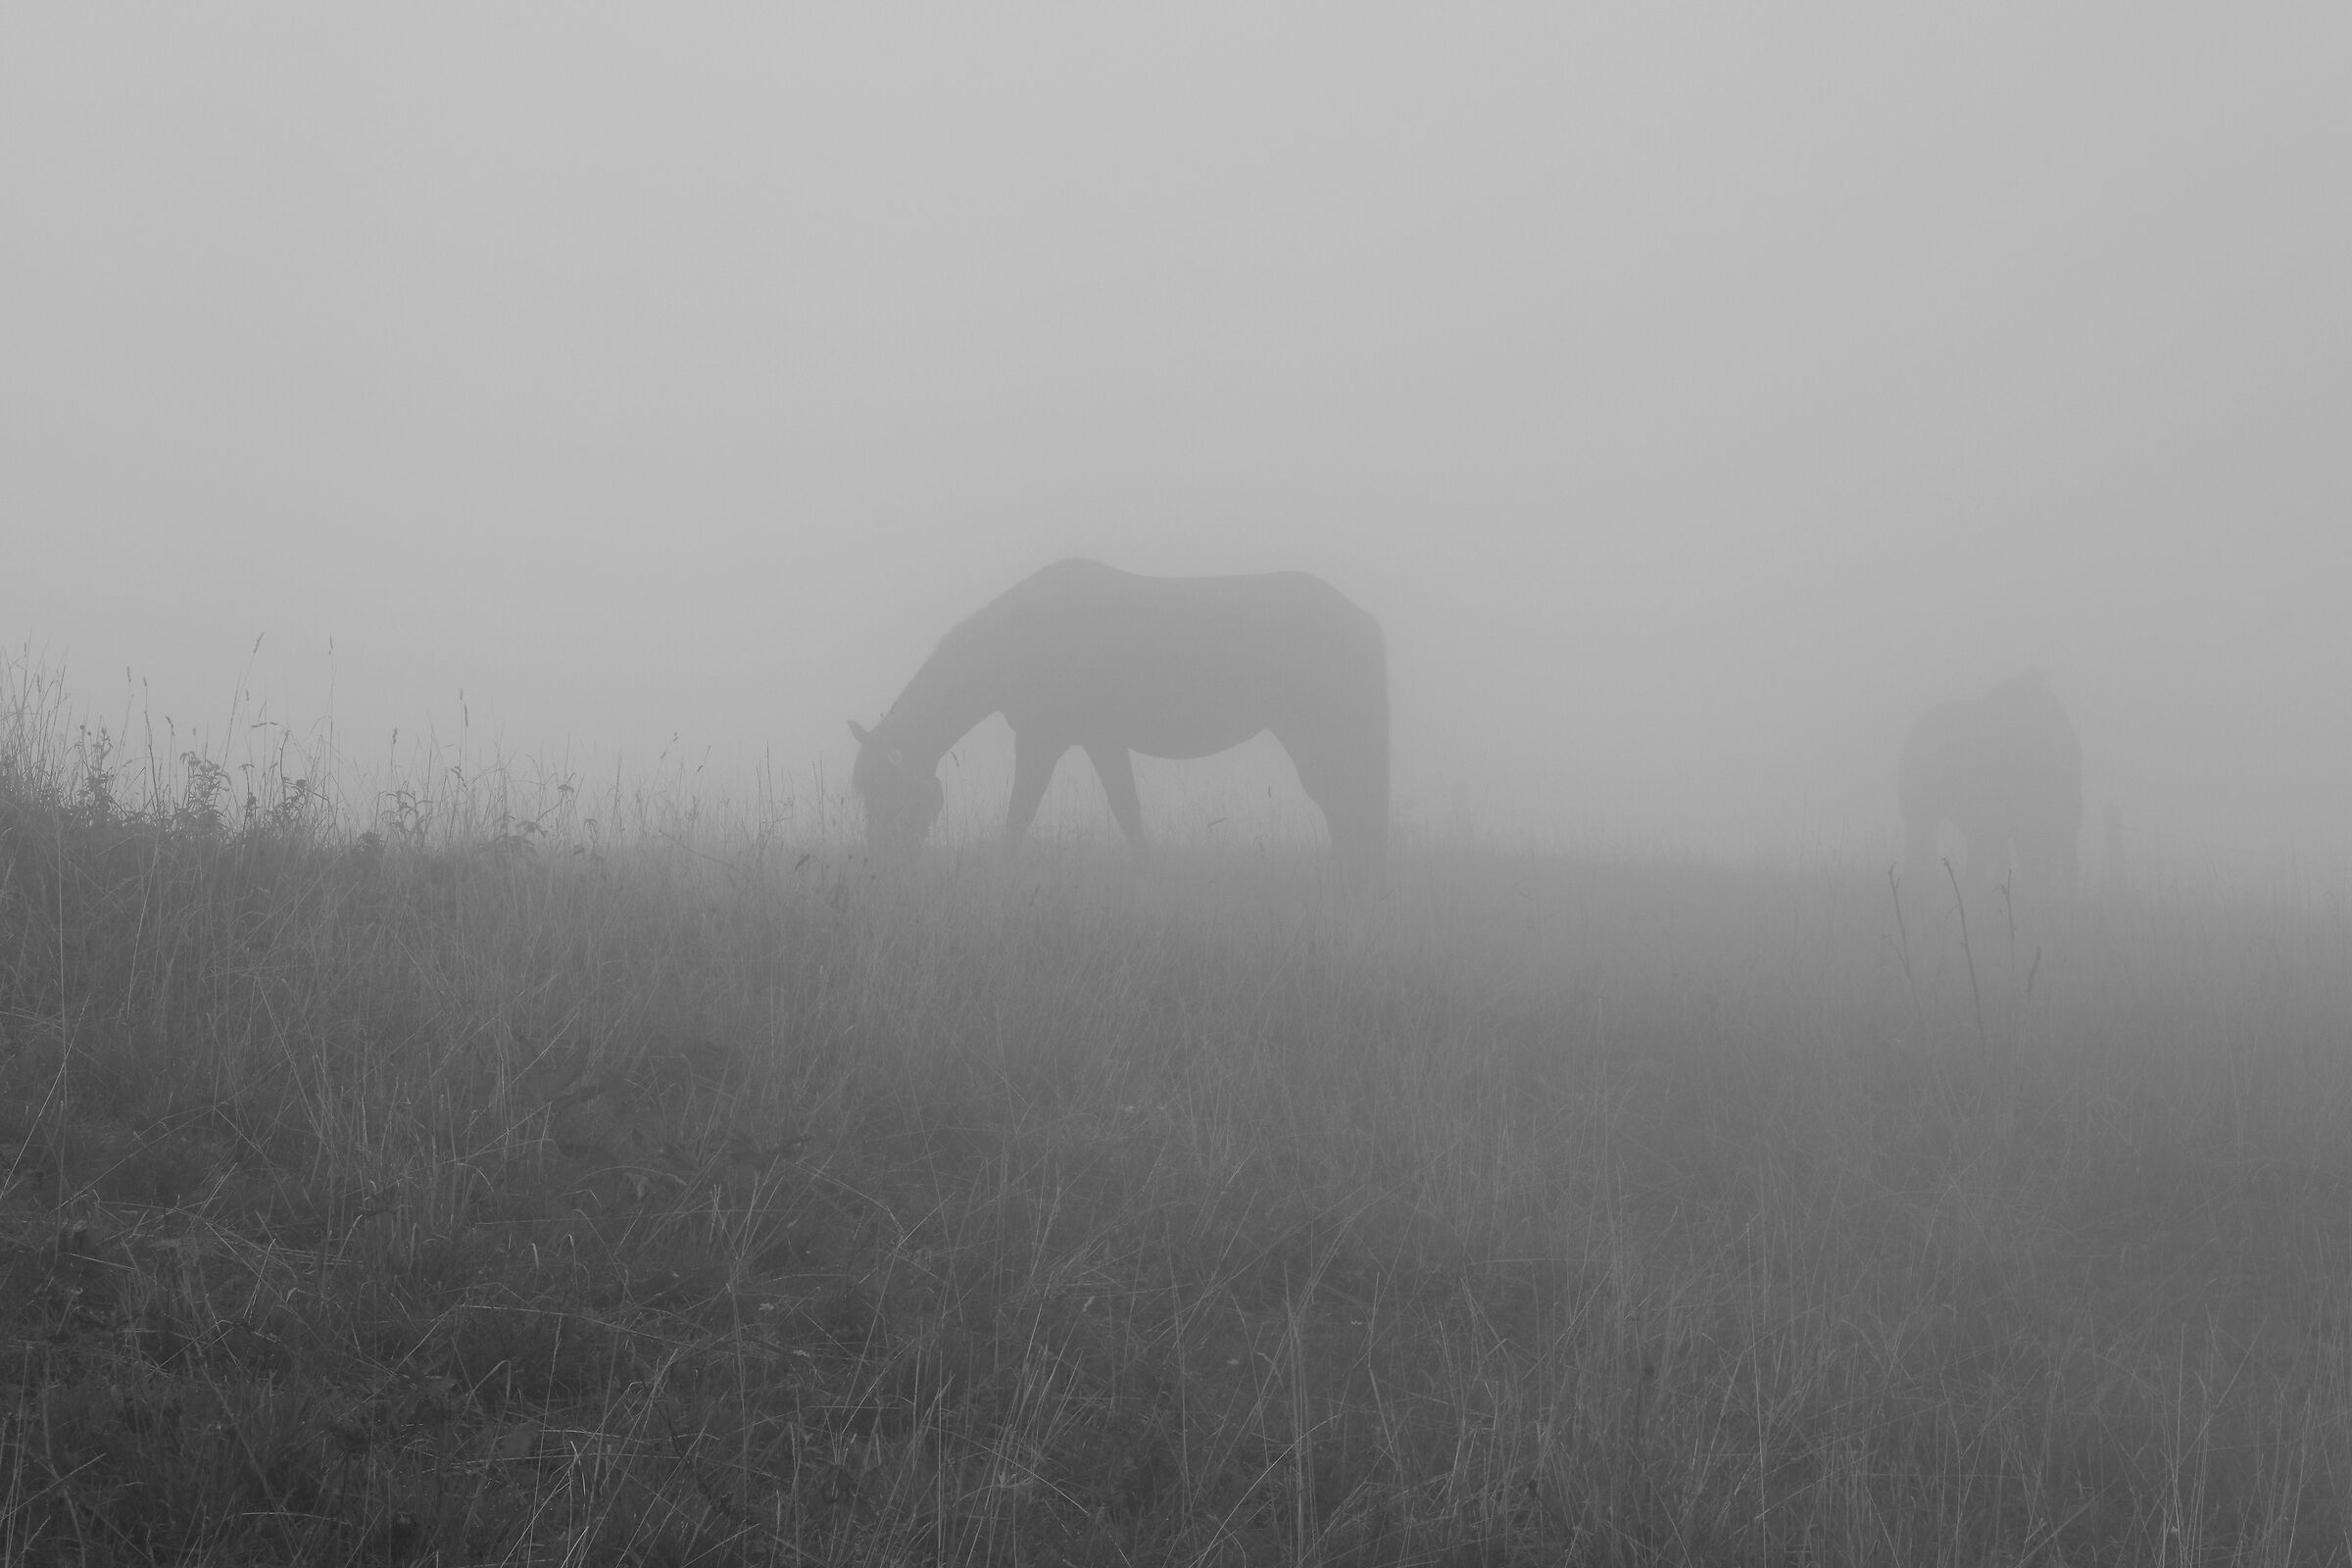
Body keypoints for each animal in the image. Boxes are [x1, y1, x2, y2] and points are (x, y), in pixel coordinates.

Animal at [849, 559, 1389, 874]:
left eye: (890, 794)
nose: (883, 866)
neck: (1019, 640)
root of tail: (1364, 621)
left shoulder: (1053, 742)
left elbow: (1027, 813)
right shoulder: (1084, 742)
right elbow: (1120, 811)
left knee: (1345, 793)